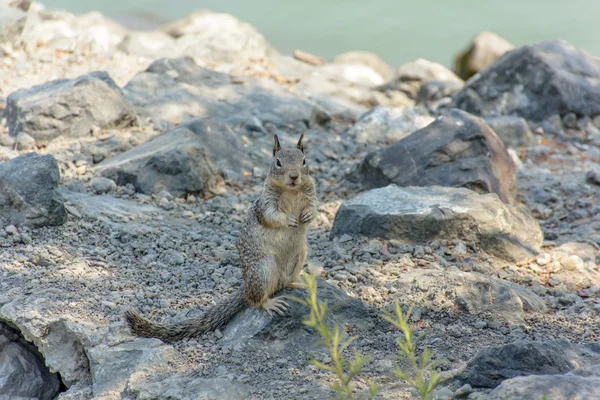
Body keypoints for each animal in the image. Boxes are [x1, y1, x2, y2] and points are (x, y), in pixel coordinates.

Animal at [123, 134, 316, 340]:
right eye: (278, 162)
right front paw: (289, 220)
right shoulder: (265, 204)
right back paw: (270, 303)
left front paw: (307, 215)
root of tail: (246, 287)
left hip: (300, 255)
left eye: (304, 161)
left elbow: (314, 208)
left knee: (286, 282)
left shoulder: (311, 195)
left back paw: (297, 283)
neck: (291, 191)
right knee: (256, 300)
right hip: (263, 270)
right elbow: (272, 215)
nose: (294, 176)